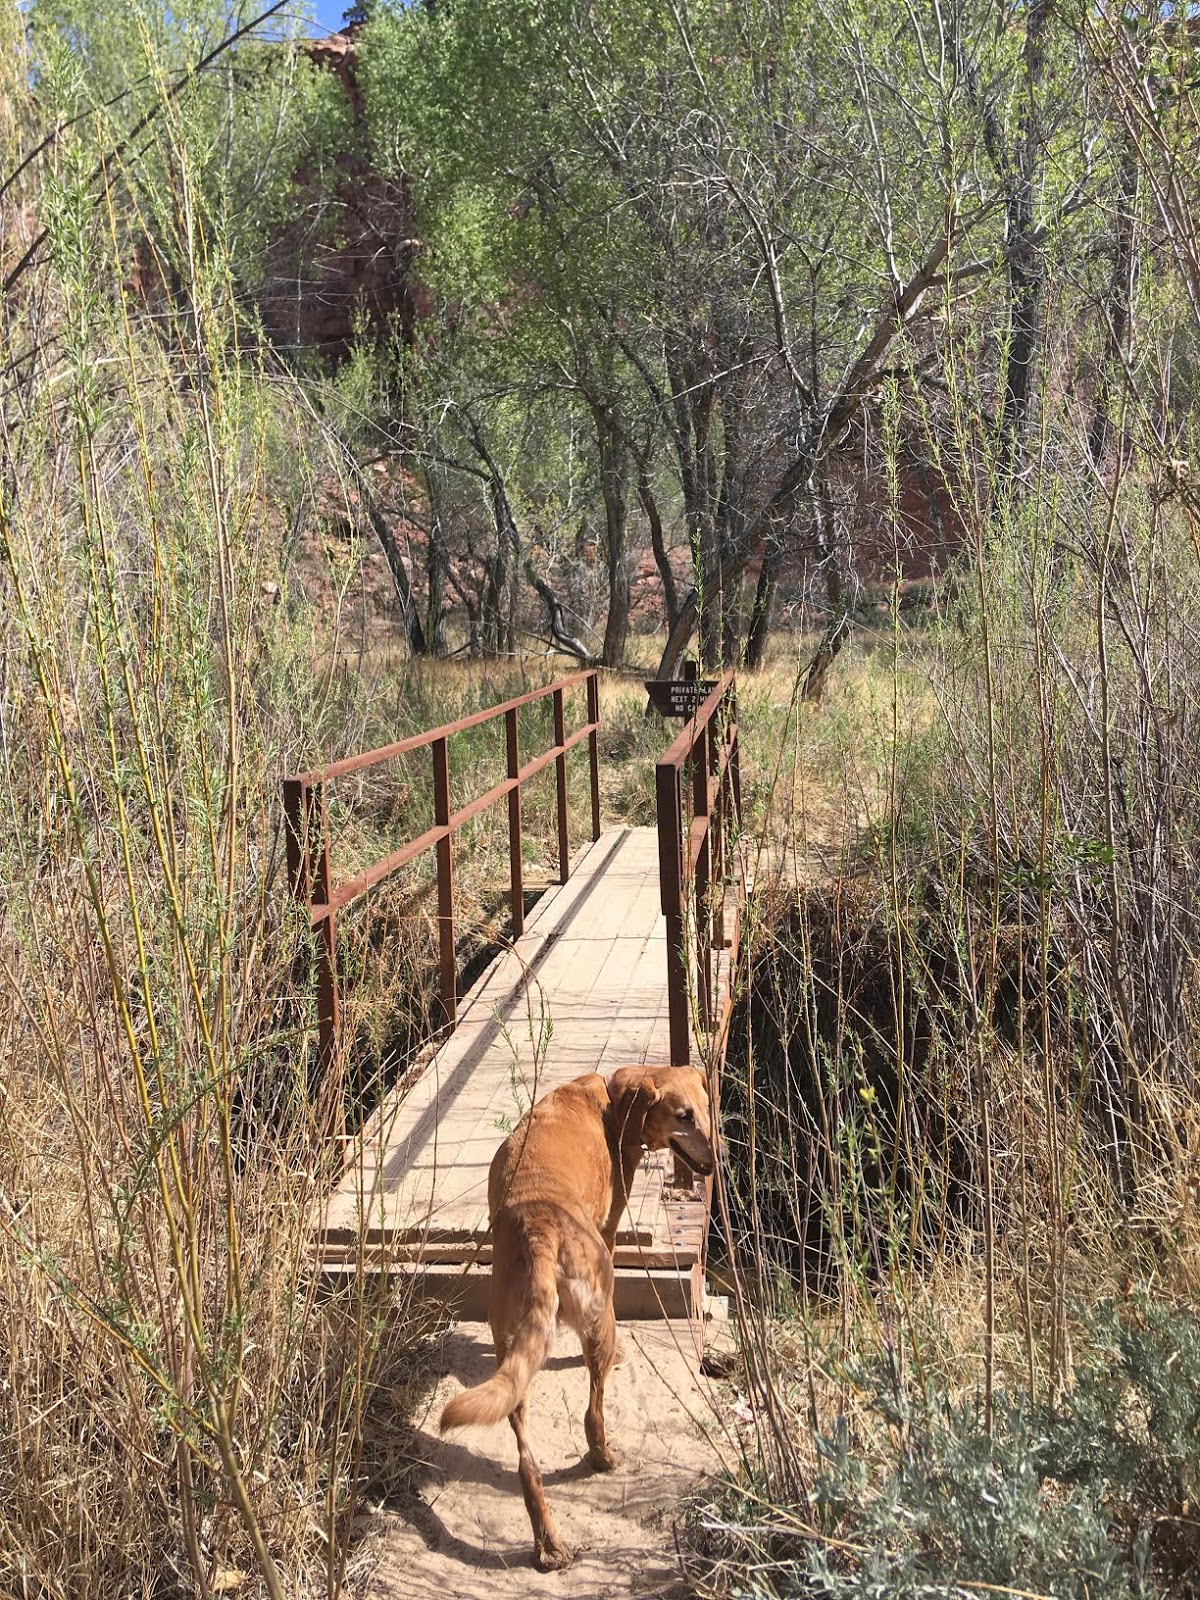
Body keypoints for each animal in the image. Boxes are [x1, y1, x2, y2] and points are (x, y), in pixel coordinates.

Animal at [438, 1068, 713, 1568]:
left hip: (513, 1358)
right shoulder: (611, 1225)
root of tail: (539, 1231)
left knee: (527, 1461)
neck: (612, 1100)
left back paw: (548, 1545)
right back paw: (603, 1457)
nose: (716, 1159)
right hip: (600, 1307)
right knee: (593, 1410)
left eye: (704, 1109)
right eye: (683, 1116)